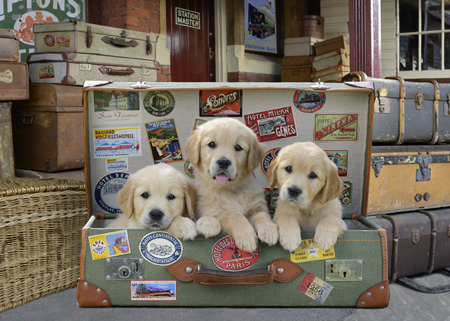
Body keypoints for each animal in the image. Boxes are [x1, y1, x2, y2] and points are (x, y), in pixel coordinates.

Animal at [184, 117, 278, 252]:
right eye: (211, 144)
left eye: (238, 147)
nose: (223, 162)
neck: (230, 190)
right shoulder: (212, 211)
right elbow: (233, 214)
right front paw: (246, 236)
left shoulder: (257, 206)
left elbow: (262, 215)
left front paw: (269, 229)